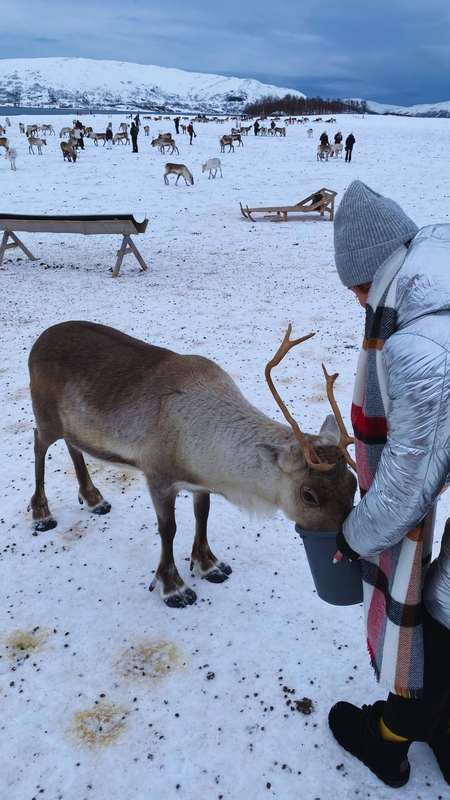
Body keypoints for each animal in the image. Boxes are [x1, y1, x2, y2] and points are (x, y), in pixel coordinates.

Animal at [28, 322, 356, 608]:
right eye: (309, 495)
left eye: (352, 483)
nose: (345, 550)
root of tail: (39, 341)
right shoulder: (158, 477)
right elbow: (168, 529)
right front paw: (173, 587)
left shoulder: (200, 482)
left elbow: (203, 516)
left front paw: (209, 565)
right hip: (46, 417)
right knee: (38, 444)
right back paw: (42, 513)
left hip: (73, 425)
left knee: (73, 447)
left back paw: (94, 498)